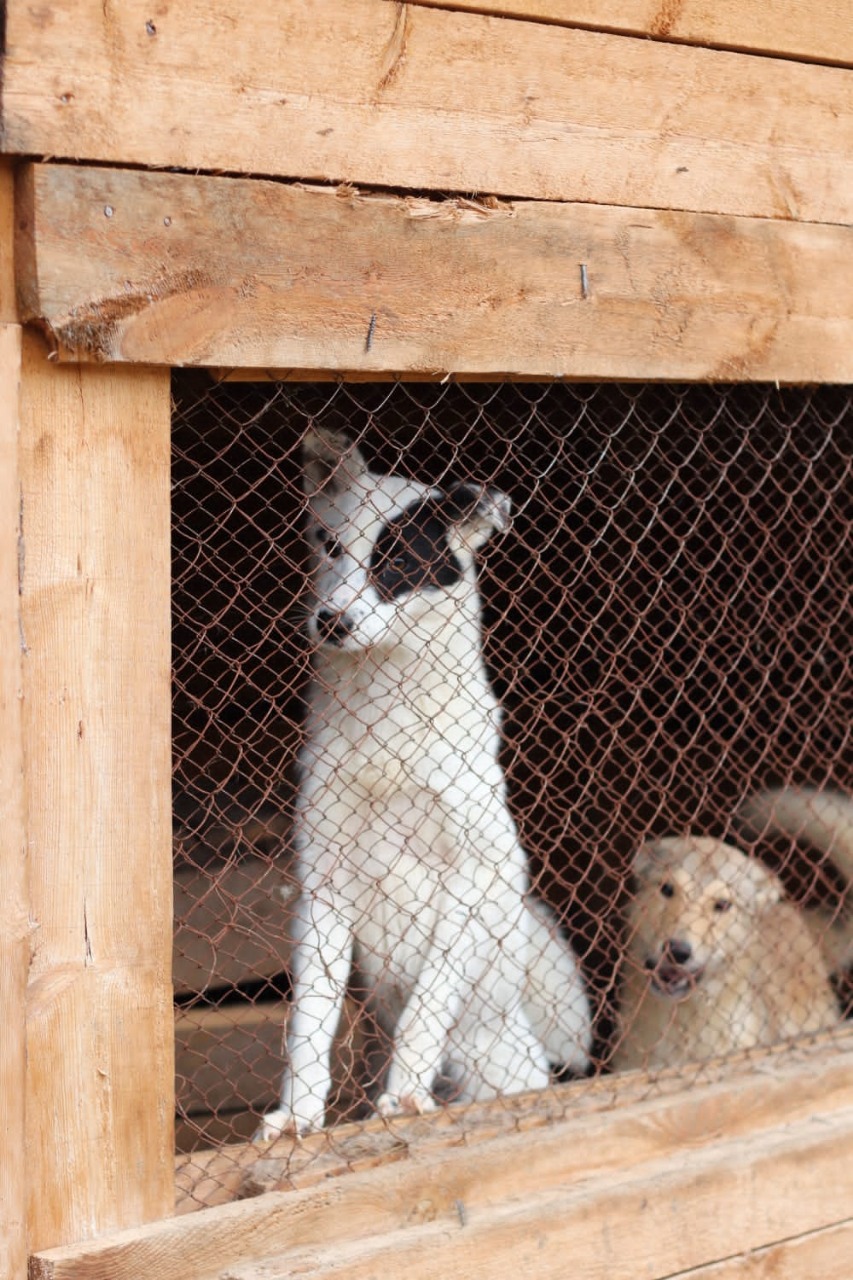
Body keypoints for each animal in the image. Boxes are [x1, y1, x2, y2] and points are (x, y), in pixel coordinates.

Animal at [261, 432, 591, 1141]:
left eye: (398, 561)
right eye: (331, 545)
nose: (331, 621)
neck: (384, 712)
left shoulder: (470, 875)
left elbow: (427, 1005)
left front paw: (407, 1095)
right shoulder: (323, 884)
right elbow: (310, 1022)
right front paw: (298, 1115)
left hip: (501, 1063)